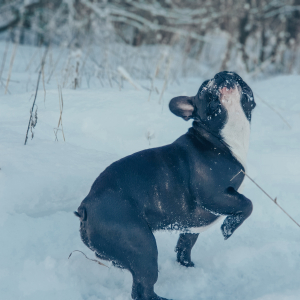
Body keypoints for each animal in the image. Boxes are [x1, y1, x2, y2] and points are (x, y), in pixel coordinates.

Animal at [74, 71, 255, 300]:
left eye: (241, 80)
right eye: (205, 88)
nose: (224, 74)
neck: (222, 139)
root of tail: (86, 207)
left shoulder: (190, 227)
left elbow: (184, 247)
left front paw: (187, 267)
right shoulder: (213, 196)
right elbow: (247, 204)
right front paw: (228, 228)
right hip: (142, 247)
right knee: (143, 288)